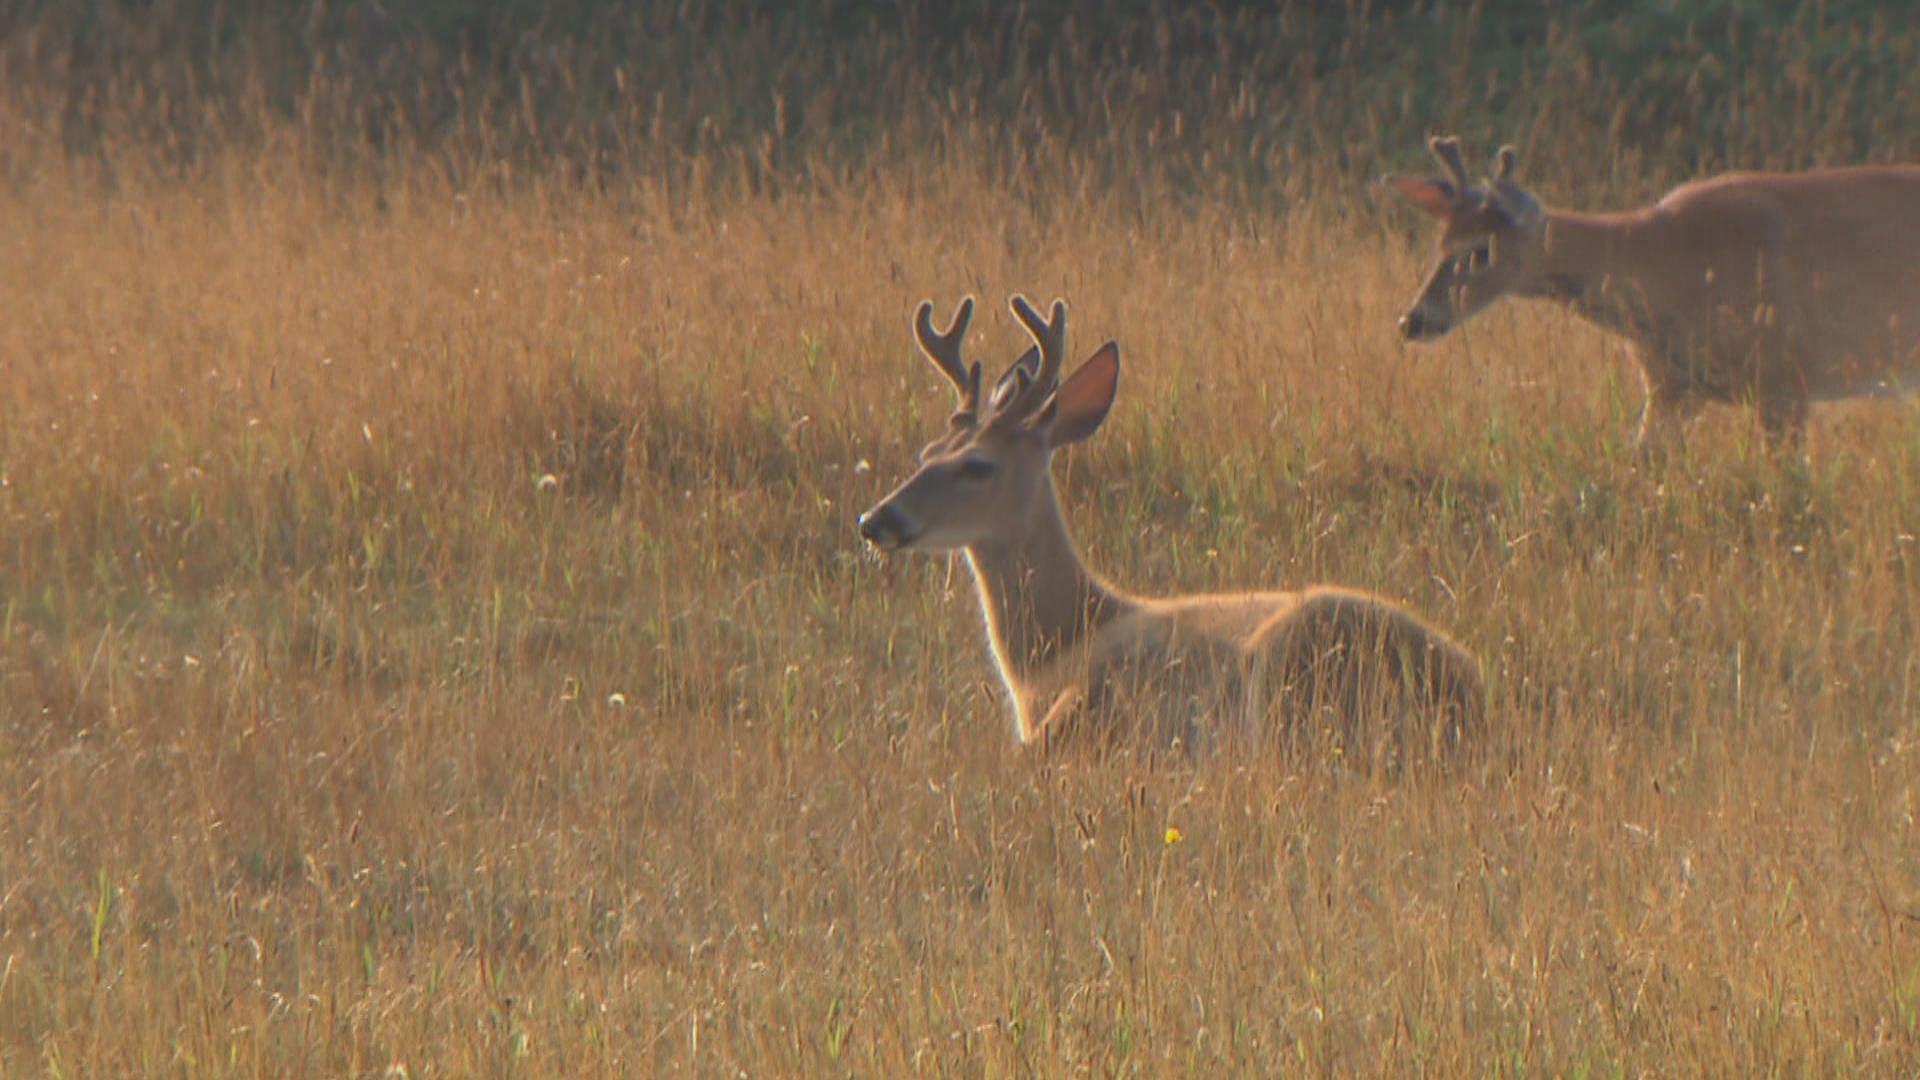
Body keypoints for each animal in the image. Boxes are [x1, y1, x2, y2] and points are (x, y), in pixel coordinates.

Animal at [860, 294, 1482, 757]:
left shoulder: (1087, 705)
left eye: (977, 465)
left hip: (1285, 666)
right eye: (926, 453)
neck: (1057, 646)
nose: (875, 519)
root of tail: (1468, 693)